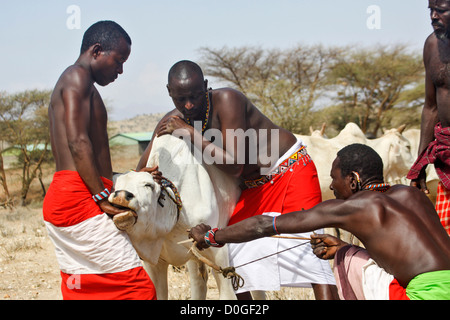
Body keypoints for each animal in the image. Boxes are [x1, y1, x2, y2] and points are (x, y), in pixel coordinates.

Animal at [109, 134, 243, 298]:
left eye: (148, 185)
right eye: (113, 187)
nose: (121, 195)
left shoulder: (218, 253)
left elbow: (228, 294)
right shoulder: (154, 263)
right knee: (199, 281)